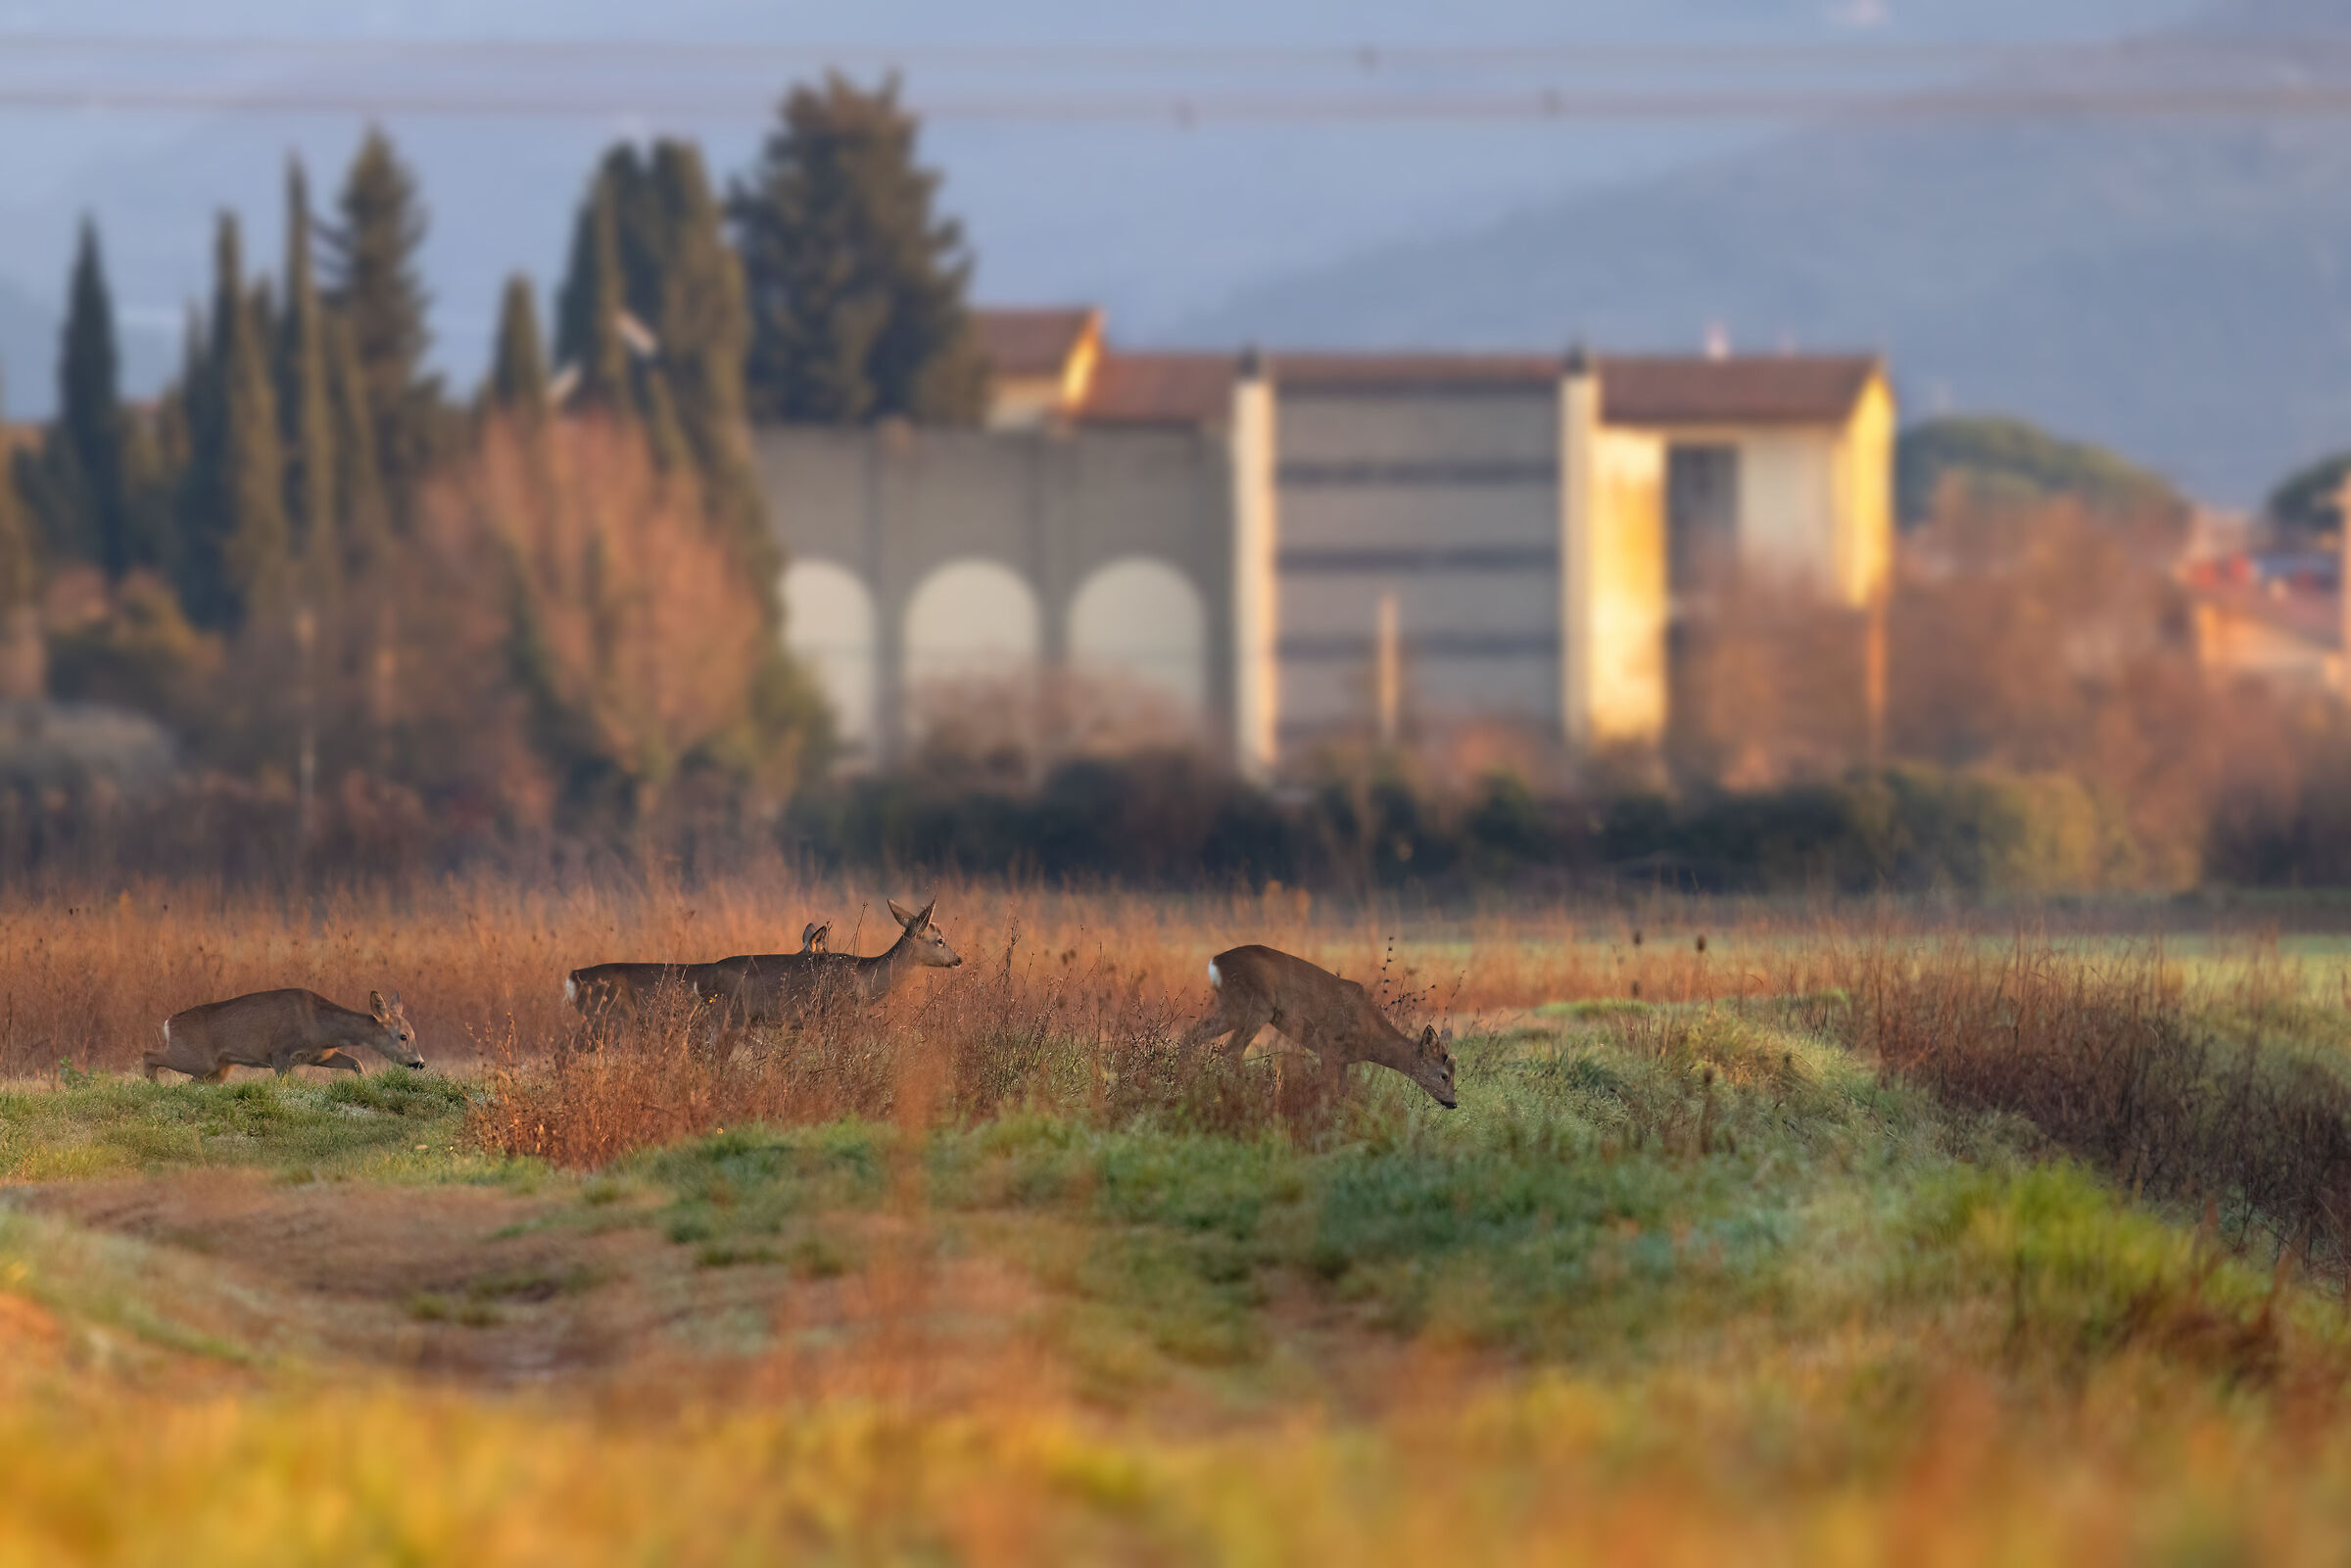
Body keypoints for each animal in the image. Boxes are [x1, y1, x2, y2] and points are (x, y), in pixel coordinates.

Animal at [144, 989, 425, 1083]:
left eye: (413, 1034)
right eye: (403, 1036)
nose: (419, 1063)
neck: (320, 1026)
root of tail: (170, 1022)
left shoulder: (320, 1056)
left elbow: (357, 1062)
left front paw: (365, 1084)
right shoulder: (280, 1053)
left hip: (216, 1070)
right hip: (198, 1058)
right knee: (149, 1053)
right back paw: (153, 1084)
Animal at [1177, 945, 1457, 1109]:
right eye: (1444, 1074)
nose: (1453, 1103)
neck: (1371, 1039)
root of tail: (1215, 962)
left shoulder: (1343, 1059)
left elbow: (1344, 1092)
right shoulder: (1329, 1043)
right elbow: (1327, 1089)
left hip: (1230, 1006)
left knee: (1191, 1036)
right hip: (1254, 1006)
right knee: (1229, 1053)